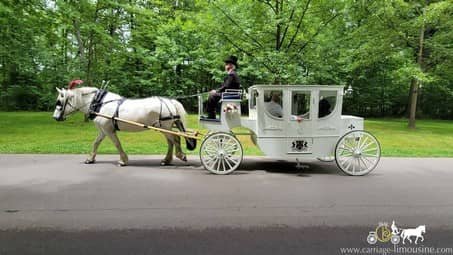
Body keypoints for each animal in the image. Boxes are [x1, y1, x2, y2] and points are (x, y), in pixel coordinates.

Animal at [53, 85, 194, 165]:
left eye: (59, 102)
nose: (55, 117)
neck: (100, 104)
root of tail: (170, 101)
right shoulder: (103, 130)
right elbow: (96, 143)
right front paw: (90, 159)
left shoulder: (109, 130)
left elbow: (117, 144)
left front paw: (123, 160)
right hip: (163, 127)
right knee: (171, 141)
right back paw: (166, 160)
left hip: (165, 127)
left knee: (175, 139)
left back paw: (180, 155)